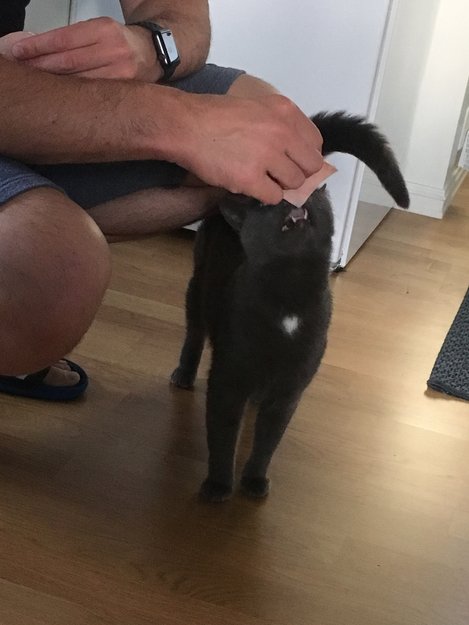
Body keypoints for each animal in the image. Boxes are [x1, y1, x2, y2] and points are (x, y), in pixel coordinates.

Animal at [171, 112, 410, 502]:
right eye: (266, 205)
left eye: (313, 193)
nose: (294, 199)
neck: (291, 294)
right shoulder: (229, 380)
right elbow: (222, 437)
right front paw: (218, 487)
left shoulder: (289, 390)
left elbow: (268, 441)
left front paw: (255, 481)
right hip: (199, 283)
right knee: (195, 332)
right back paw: (183, 376)